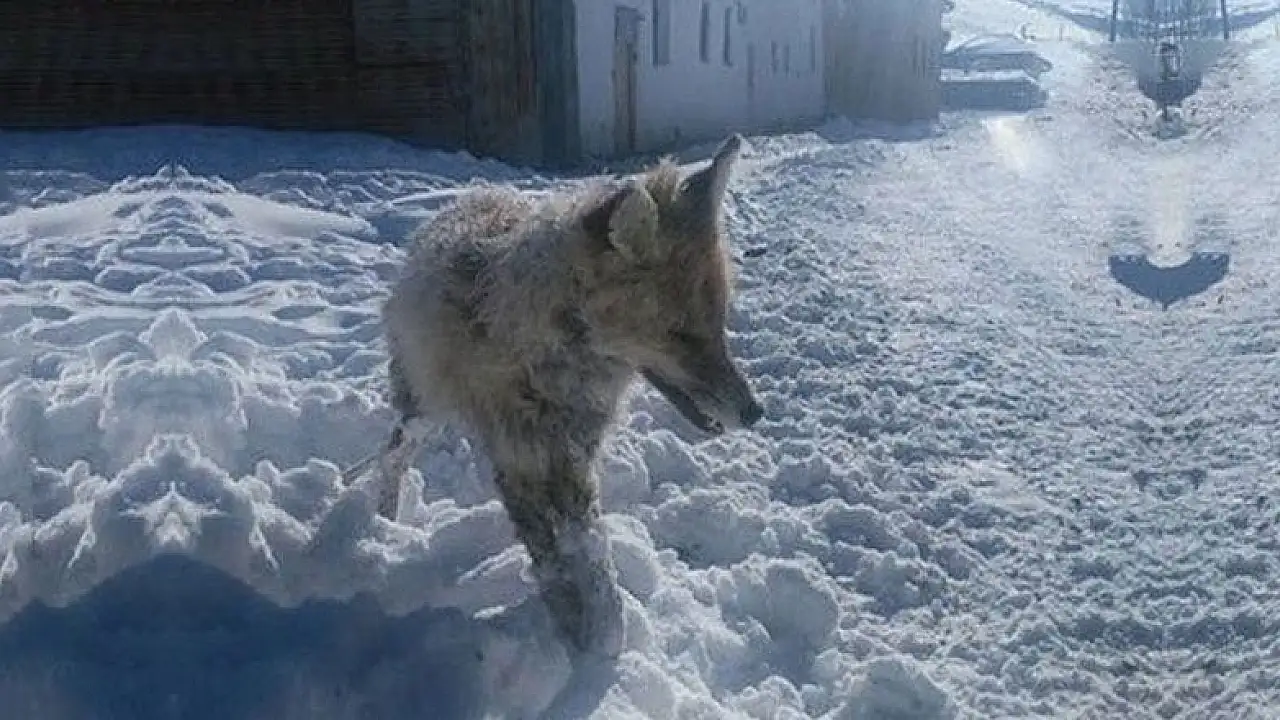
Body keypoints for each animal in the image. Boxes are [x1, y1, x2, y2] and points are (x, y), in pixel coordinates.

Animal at [361, 134, 763, 657]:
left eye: (719, 322)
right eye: (680, 334)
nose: (755, 412)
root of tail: (469, 198)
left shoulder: (573, 462)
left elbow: (593, 560)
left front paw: (606, 644)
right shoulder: (521, 461)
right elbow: (554, 568)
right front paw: (581, 646)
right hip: (424, 406)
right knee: (393, 453)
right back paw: (385, 522)